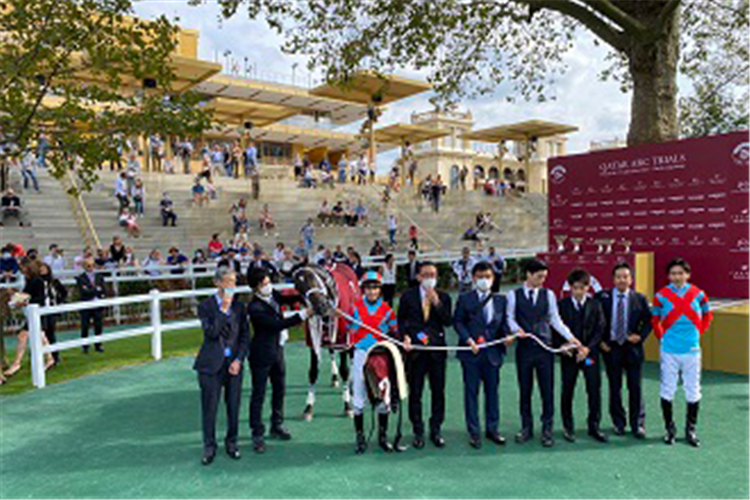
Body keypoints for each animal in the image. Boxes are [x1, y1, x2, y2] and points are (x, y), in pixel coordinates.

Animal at [292, 264, 362, 420]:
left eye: (312, 278)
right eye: (298, 287)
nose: (320, 306)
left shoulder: (344, 340)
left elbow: (345, 370)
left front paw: (348, 406)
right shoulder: (314, 342)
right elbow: (312, 372)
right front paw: (308, 408)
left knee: (353, 356)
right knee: (331, 352)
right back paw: (334, 378)